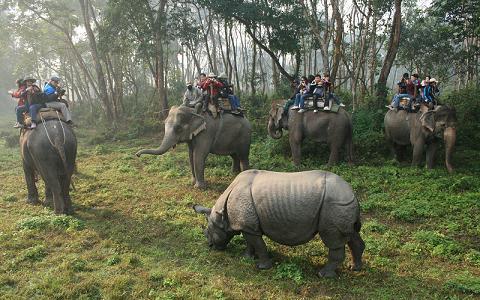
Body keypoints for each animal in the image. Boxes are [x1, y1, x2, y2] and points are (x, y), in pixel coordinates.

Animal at [193, 170, 366, 278]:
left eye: (208, 233)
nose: (210, 246)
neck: (222, 215)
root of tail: (352, 193)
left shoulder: (248, 225)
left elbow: (259, 245)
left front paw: (262, 267)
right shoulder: (247, 225)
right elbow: (250, 242)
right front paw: (246, 257)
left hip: (334, 205)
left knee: (333, 240)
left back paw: (323, 275)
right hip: (342, 205)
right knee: (351, 234)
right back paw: (355, 268)